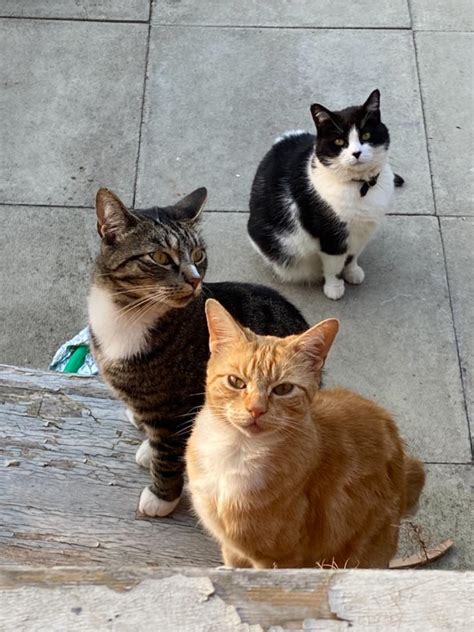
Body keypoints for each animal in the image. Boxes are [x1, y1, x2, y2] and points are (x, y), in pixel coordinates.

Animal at [88, 187, 308, 518]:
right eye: (160, 257)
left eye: (198, 255)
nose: (195, 280)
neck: (125, 314)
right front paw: (147, 442)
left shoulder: (177, 404)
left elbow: (168, 452)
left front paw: (161, 498)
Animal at [186, 299, 425, 569]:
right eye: (236, 382)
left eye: (283, 389)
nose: (256, 409)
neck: (236, 453)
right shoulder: (231, 547)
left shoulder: (279, 560)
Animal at [248, 89, 404, 300]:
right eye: (339, 141)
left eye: (366, 134)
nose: (356, 153)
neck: (362, 186)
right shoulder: (331, 236)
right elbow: (334, 266)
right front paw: (334, 288)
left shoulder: (363, 231)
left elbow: (353, 255)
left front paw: (352, 272)